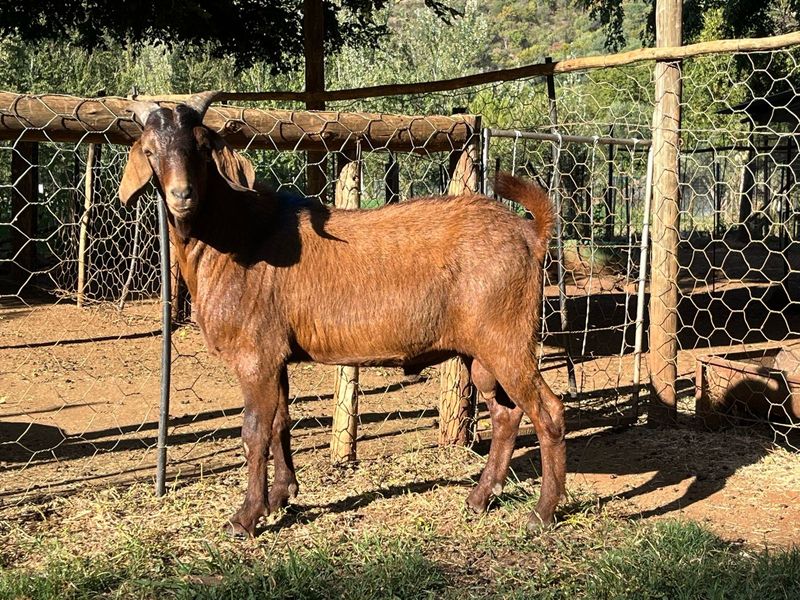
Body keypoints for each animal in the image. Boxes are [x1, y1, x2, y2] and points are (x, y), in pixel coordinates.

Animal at [120, 91, 568, 536]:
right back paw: (479, 498)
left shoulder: (255, 355)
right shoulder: (277, 355)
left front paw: (246, 517)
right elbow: (281, 421)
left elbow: (254, 432)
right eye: (149, 149)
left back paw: (543, 512)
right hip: (481, 352)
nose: (182, 196)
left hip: (507, 338)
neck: (237, 237)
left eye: (200, 146)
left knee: (548, 411)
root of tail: (531, 234)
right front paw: (283, 495)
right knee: (506, 413)